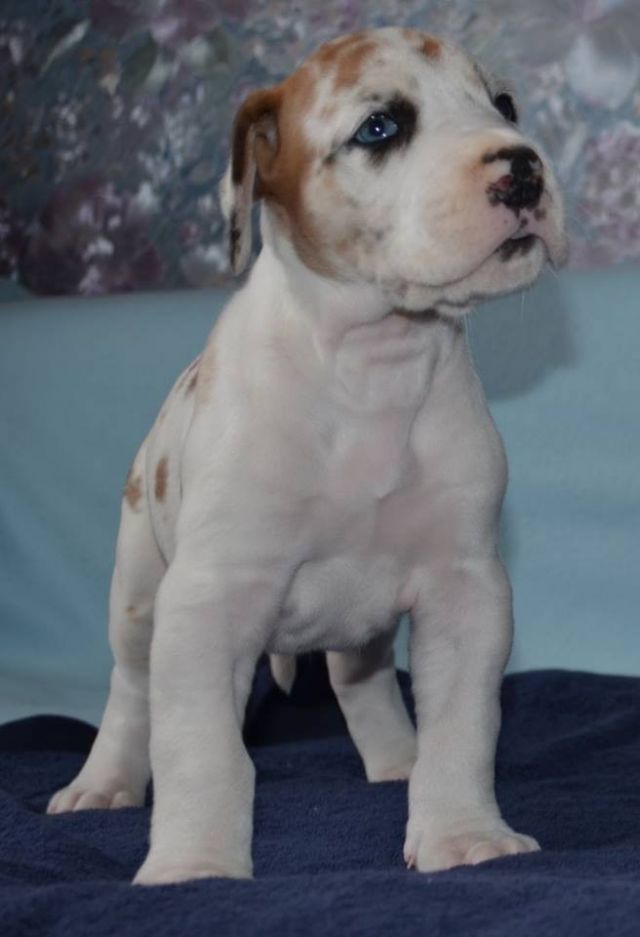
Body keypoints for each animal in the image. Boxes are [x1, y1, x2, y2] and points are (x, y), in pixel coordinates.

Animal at [47, 27, 567, 884]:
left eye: (503, 103)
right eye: (379, 128)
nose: (524, 167)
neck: (371, 364)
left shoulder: (466, 589)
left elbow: (463, 727)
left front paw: (464, 833)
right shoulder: (208, 601)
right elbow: (203, 750)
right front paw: (194, 863)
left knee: (360, 682)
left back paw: (397, 758)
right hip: (139, 591)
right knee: (130, 691)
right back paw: (103, 783)